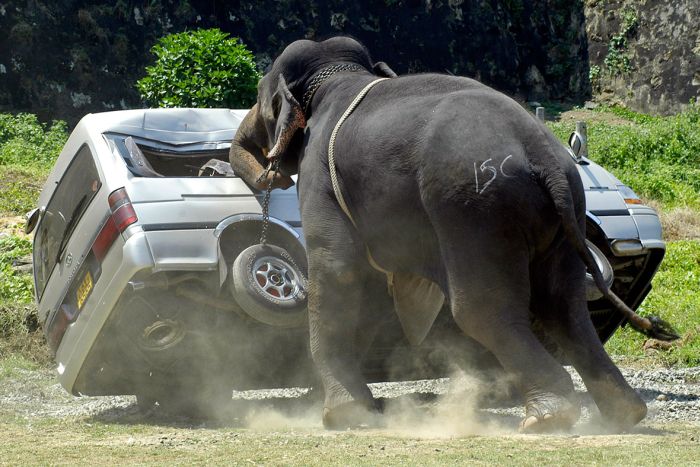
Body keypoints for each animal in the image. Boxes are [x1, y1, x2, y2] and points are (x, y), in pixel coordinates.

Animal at [230, 36, 660, 436]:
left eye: (260, 97)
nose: (271, 175)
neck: (340, 75)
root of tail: (546, 159)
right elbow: (372, 286)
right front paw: (356, 407)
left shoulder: (319, 175)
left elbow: (340, 270)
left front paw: (342, 417)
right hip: (563, 211)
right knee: (564, 303)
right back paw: (624, 414)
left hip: (474, 210)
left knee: (482, 308)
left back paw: (548, 417)